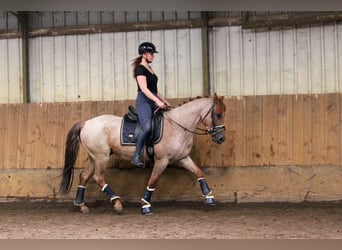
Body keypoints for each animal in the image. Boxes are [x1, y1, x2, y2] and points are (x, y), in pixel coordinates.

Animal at [60, 94, 227, 215]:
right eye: (218, 114)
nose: (221, 138)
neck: (177, 125)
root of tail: (86, 123)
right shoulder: (162, 160)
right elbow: (153, 181)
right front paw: (145, 205)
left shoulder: (182, 158)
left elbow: (199, 172)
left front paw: (209, 197)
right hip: (102, 157)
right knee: (97, 177)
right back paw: (117, 203)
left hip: (93, 157)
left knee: (84, 176)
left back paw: (81, 205)